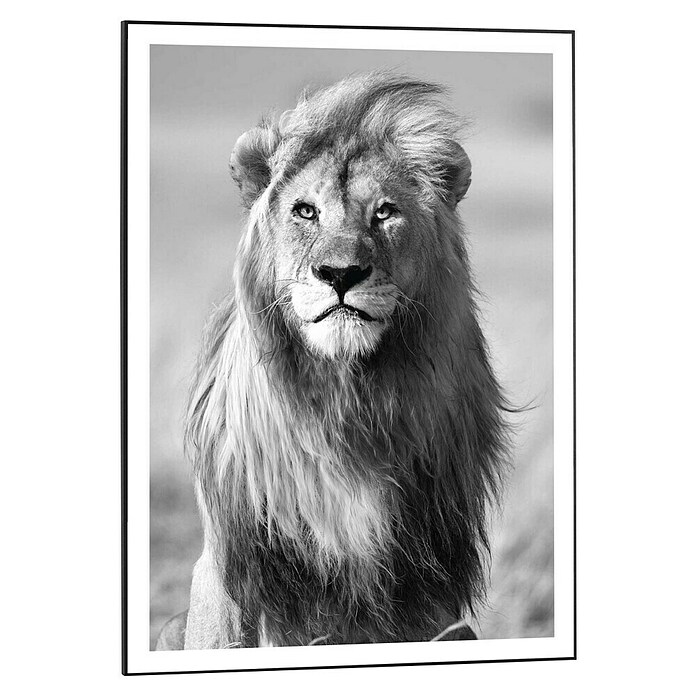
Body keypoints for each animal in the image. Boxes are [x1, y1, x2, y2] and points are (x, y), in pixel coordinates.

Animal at [156, 72, 509, 650]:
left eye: (384, 211)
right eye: (305, 211)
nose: (340, 274)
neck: (346, 401)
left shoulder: (426, 583)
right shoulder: (235, 564)